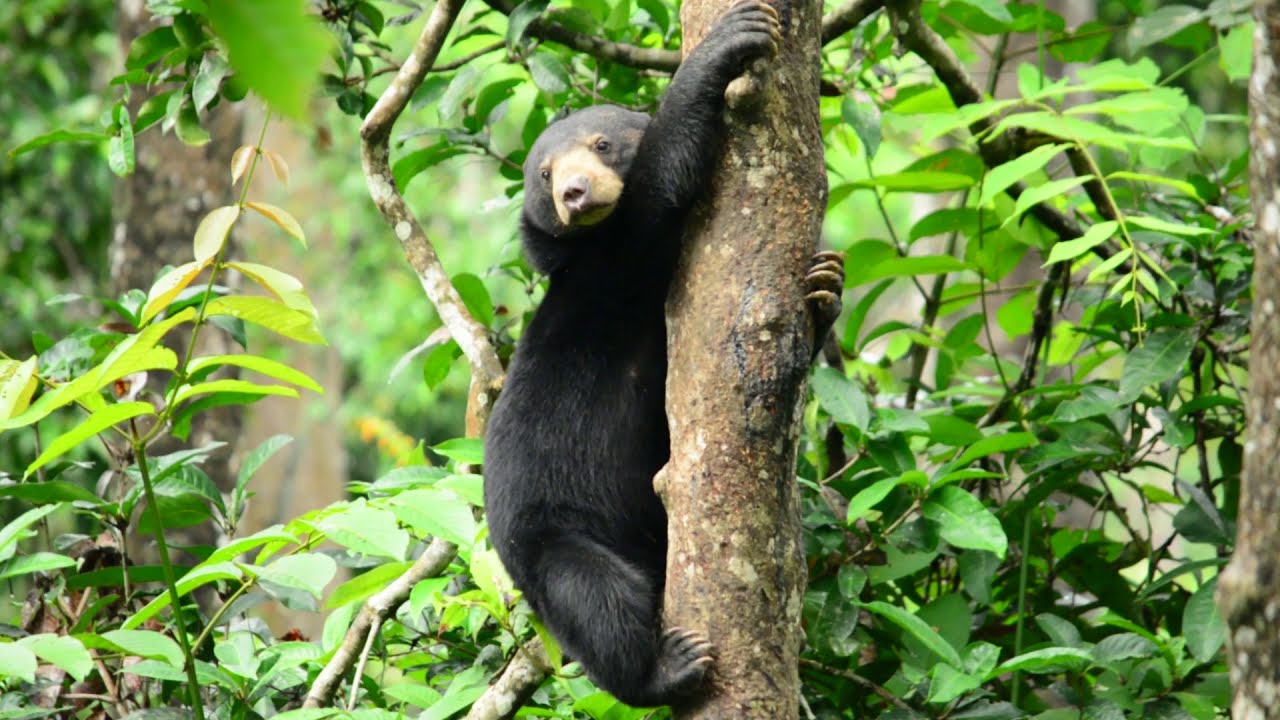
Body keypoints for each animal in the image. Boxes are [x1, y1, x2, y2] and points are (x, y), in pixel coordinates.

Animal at [483, 0, 843, 707]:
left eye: (601, 144)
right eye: (544, 173)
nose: (573, 193)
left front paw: (825, 287)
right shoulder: (620, 259)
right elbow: (656, 189)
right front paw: (727, 42)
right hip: (555, 540)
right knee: (596, 598)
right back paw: (665, 667)